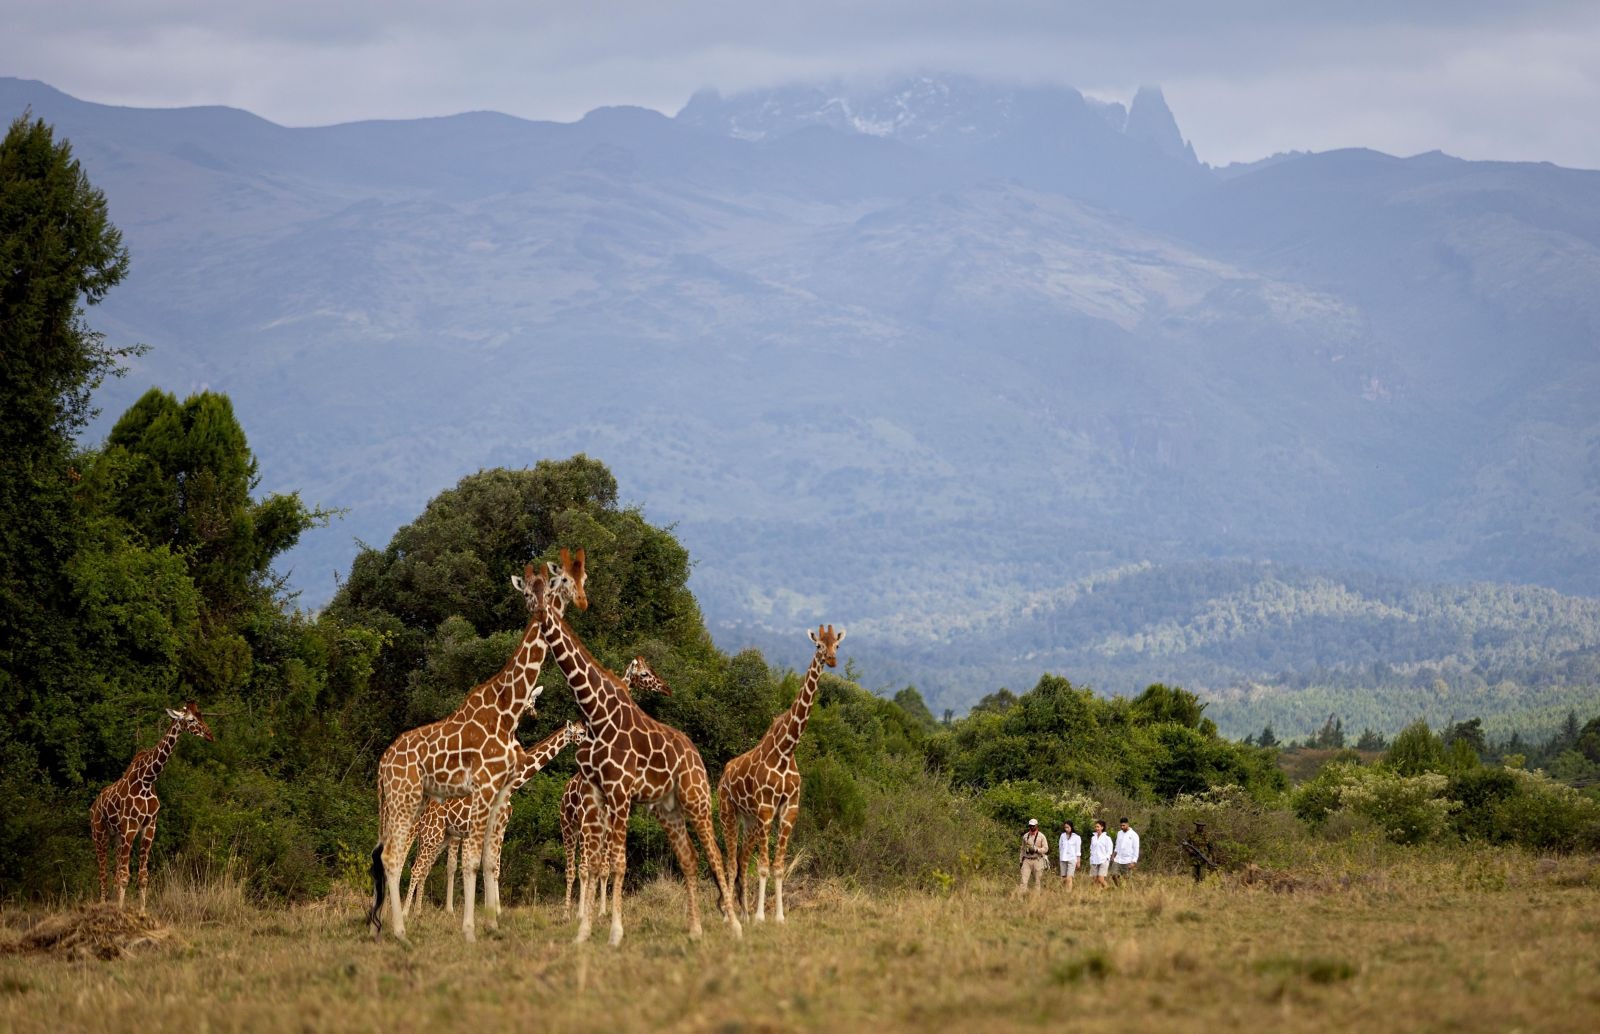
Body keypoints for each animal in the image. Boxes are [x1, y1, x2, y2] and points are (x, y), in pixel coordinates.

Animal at [89, 701, 215, 910]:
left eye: (201, 715)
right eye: (191, 720)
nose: (210, 735)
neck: (147, 780)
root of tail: (93, 806)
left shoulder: (149, 827)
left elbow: (143, 877)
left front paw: (141, 912)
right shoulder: (131, 826)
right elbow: (125, 876)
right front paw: (121, 912)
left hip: (116, 836)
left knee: (113, 873)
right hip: (99, 833)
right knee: (102, 873)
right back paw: (103, 904)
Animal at [404, 720, 587, 917]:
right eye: (581, 732)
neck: (510, 787)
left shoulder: (499, 829)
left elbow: (492, 867)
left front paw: (492, 909)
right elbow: (480, 867)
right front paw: (487, 909)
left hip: (440, 835)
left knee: (423, 868)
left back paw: (417, 911)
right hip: (431, 834)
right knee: (414, 867)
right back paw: (406, 912)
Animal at [559, 656, 670, 918]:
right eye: (644, 673)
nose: (665, 687)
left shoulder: (608, 825)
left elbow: (604, 867)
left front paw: (602, 911)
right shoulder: (590, 823)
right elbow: (587, 867)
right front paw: (586, 912)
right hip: (568, 827)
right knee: (572, 868)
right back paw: (568, 912)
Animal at [718, 624, 845, 923]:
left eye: (837, 645)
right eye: (818, 646)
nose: (832, 660)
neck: (786, 749)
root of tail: (724, 774)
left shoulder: (789, 810)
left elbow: (778, 866)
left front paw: (778, 917)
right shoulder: (766, 808)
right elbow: (764, 866)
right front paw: (761, 918)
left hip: (749, 821)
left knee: (742, 860)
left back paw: (743, 913)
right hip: (728, 812)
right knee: (730, 862)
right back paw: (729, 916)